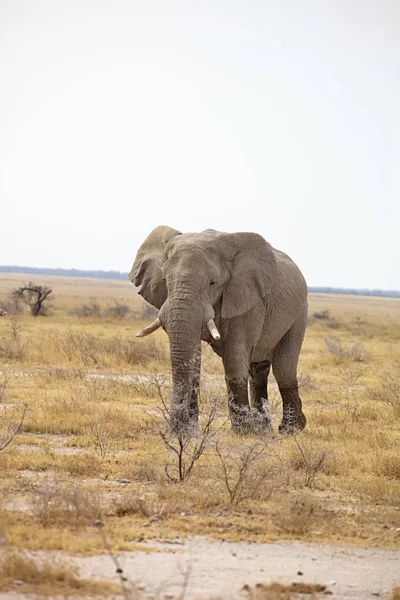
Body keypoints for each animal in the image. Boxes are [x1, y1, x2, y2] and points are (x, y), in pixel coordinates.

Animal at [130, 227, 308, 434]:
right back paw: (264, 430)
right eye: (165, 279)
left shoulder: (247, 298)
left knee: (283, 367)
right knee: (258, 369)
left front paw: (243, 431)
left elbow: (234, 356)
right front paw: (190, 432)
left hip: (299, 312)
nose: (175, 430)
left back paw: (290, 429)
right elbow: (194, 356)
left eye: (213, 283)